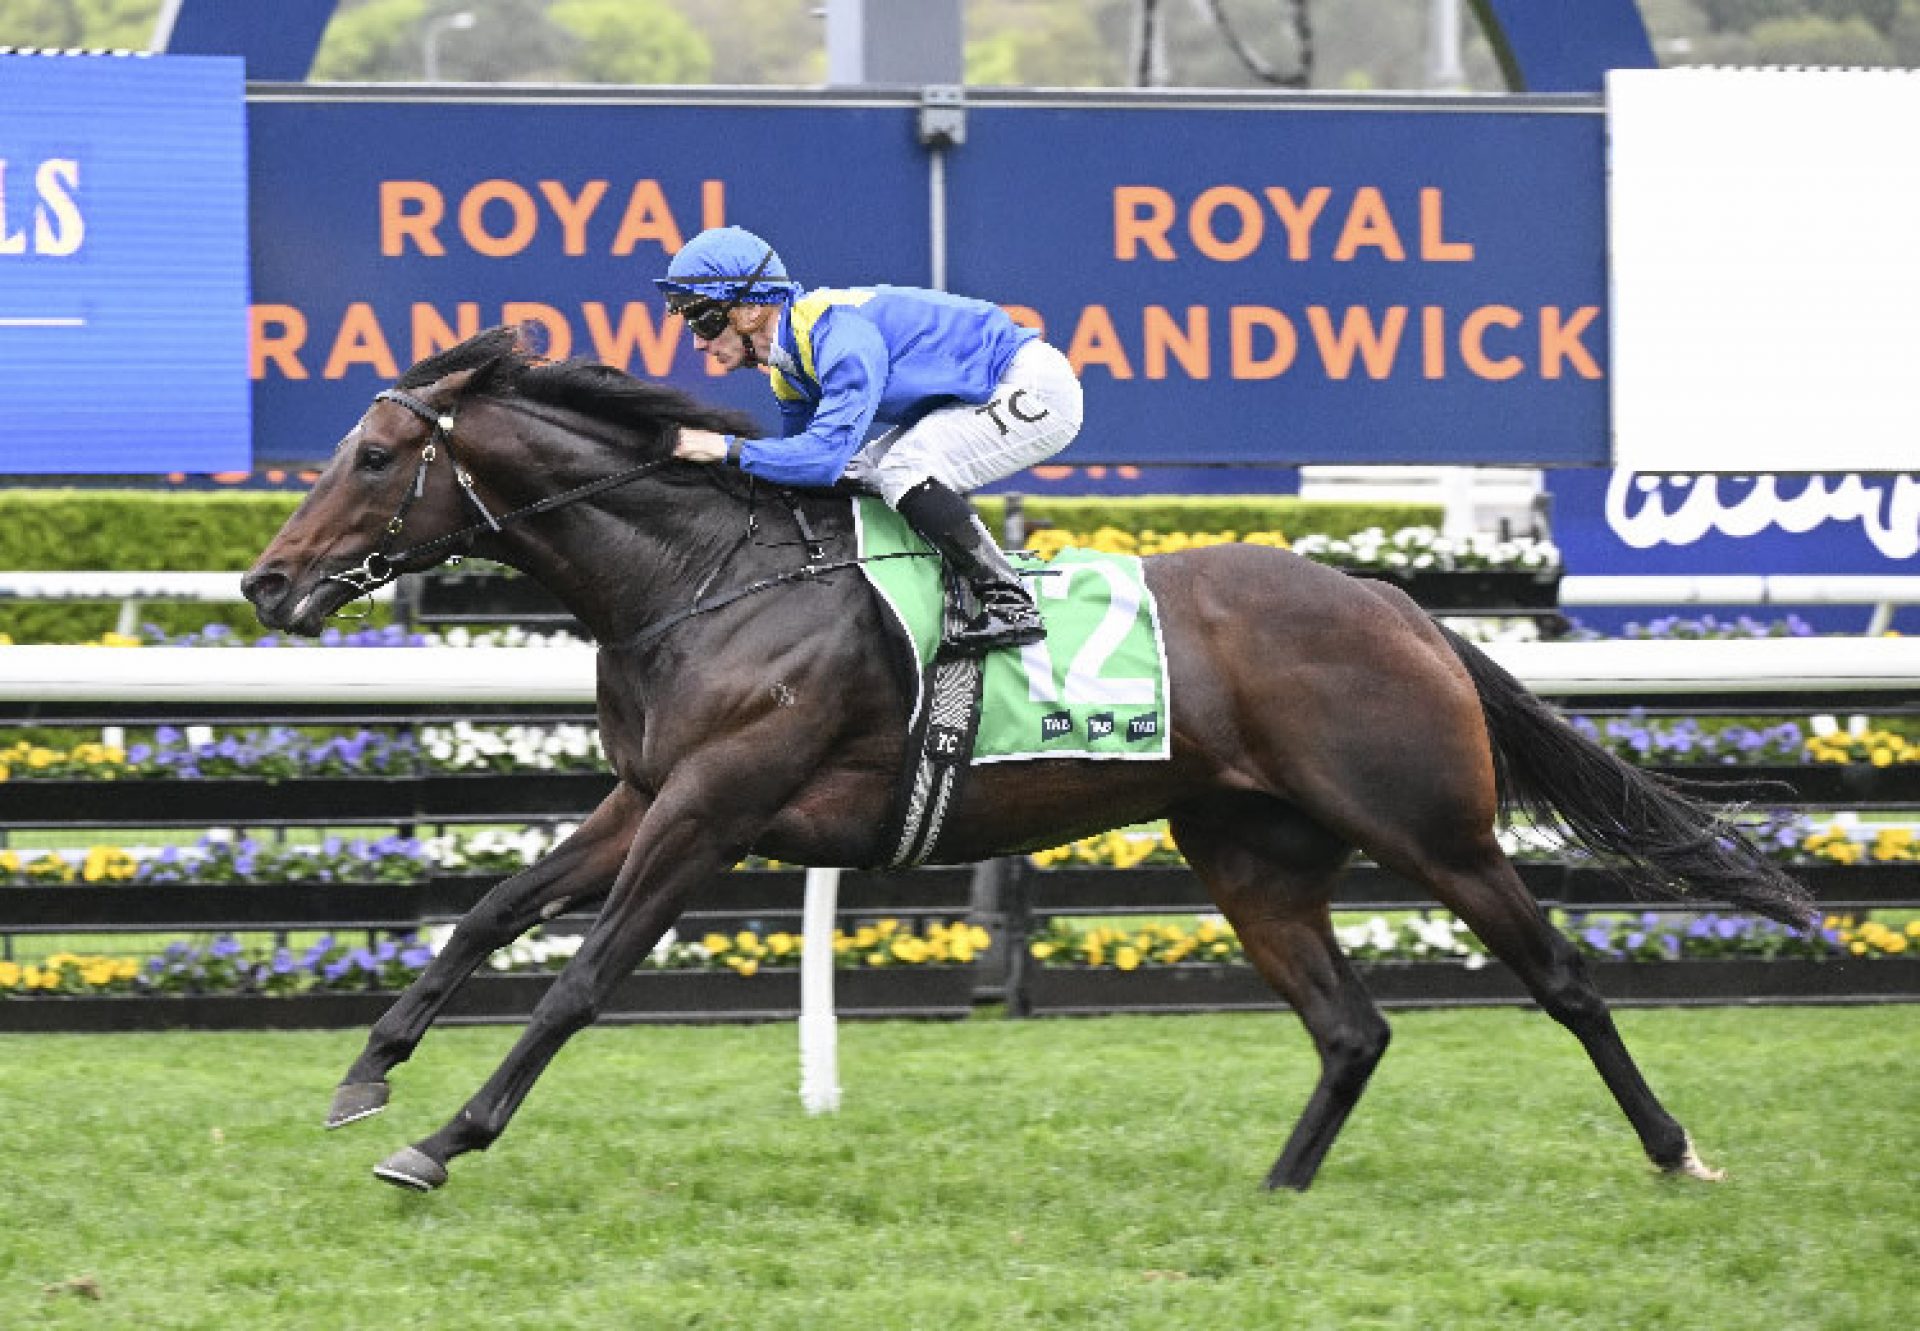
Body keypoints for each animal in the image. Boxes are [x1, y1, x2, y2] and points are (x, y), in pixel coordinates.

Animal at [243, 330, 1812, 1190]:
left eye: (374, 456)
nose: (267, 581)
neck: (700, 575)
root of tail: (1396, 601)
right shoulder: (648, 791)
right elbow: (492, 912)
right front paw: (366, 1072)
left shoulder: (715, 807)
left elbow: (577, 980)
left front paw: (442, 1139)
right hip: (1250, 855)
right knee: (1352, 1028)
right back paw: (1274, 1190)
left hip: (1435, 829)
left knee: (1564, 979)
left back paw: (1678, 1149)